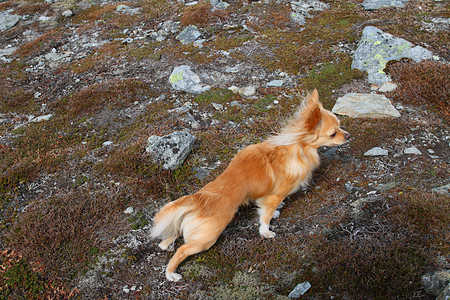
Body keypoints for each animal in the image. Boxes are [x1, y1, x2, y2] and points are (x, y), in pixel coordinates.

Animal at [149, 89, 350, 282]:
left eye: (341, 125)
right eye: (333, 133)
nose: (348, 136)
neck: (295, 147)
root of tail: (198, 199)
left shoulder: (266, 196)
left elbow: (267, 210)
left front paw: (275, 214)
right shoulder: (275, 195)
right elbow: (265, 217)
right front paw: (266, 231)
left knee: (172, 235)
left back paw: (166, 245)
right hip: (206, 238)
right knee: (182, 250)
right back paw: (171, 274)